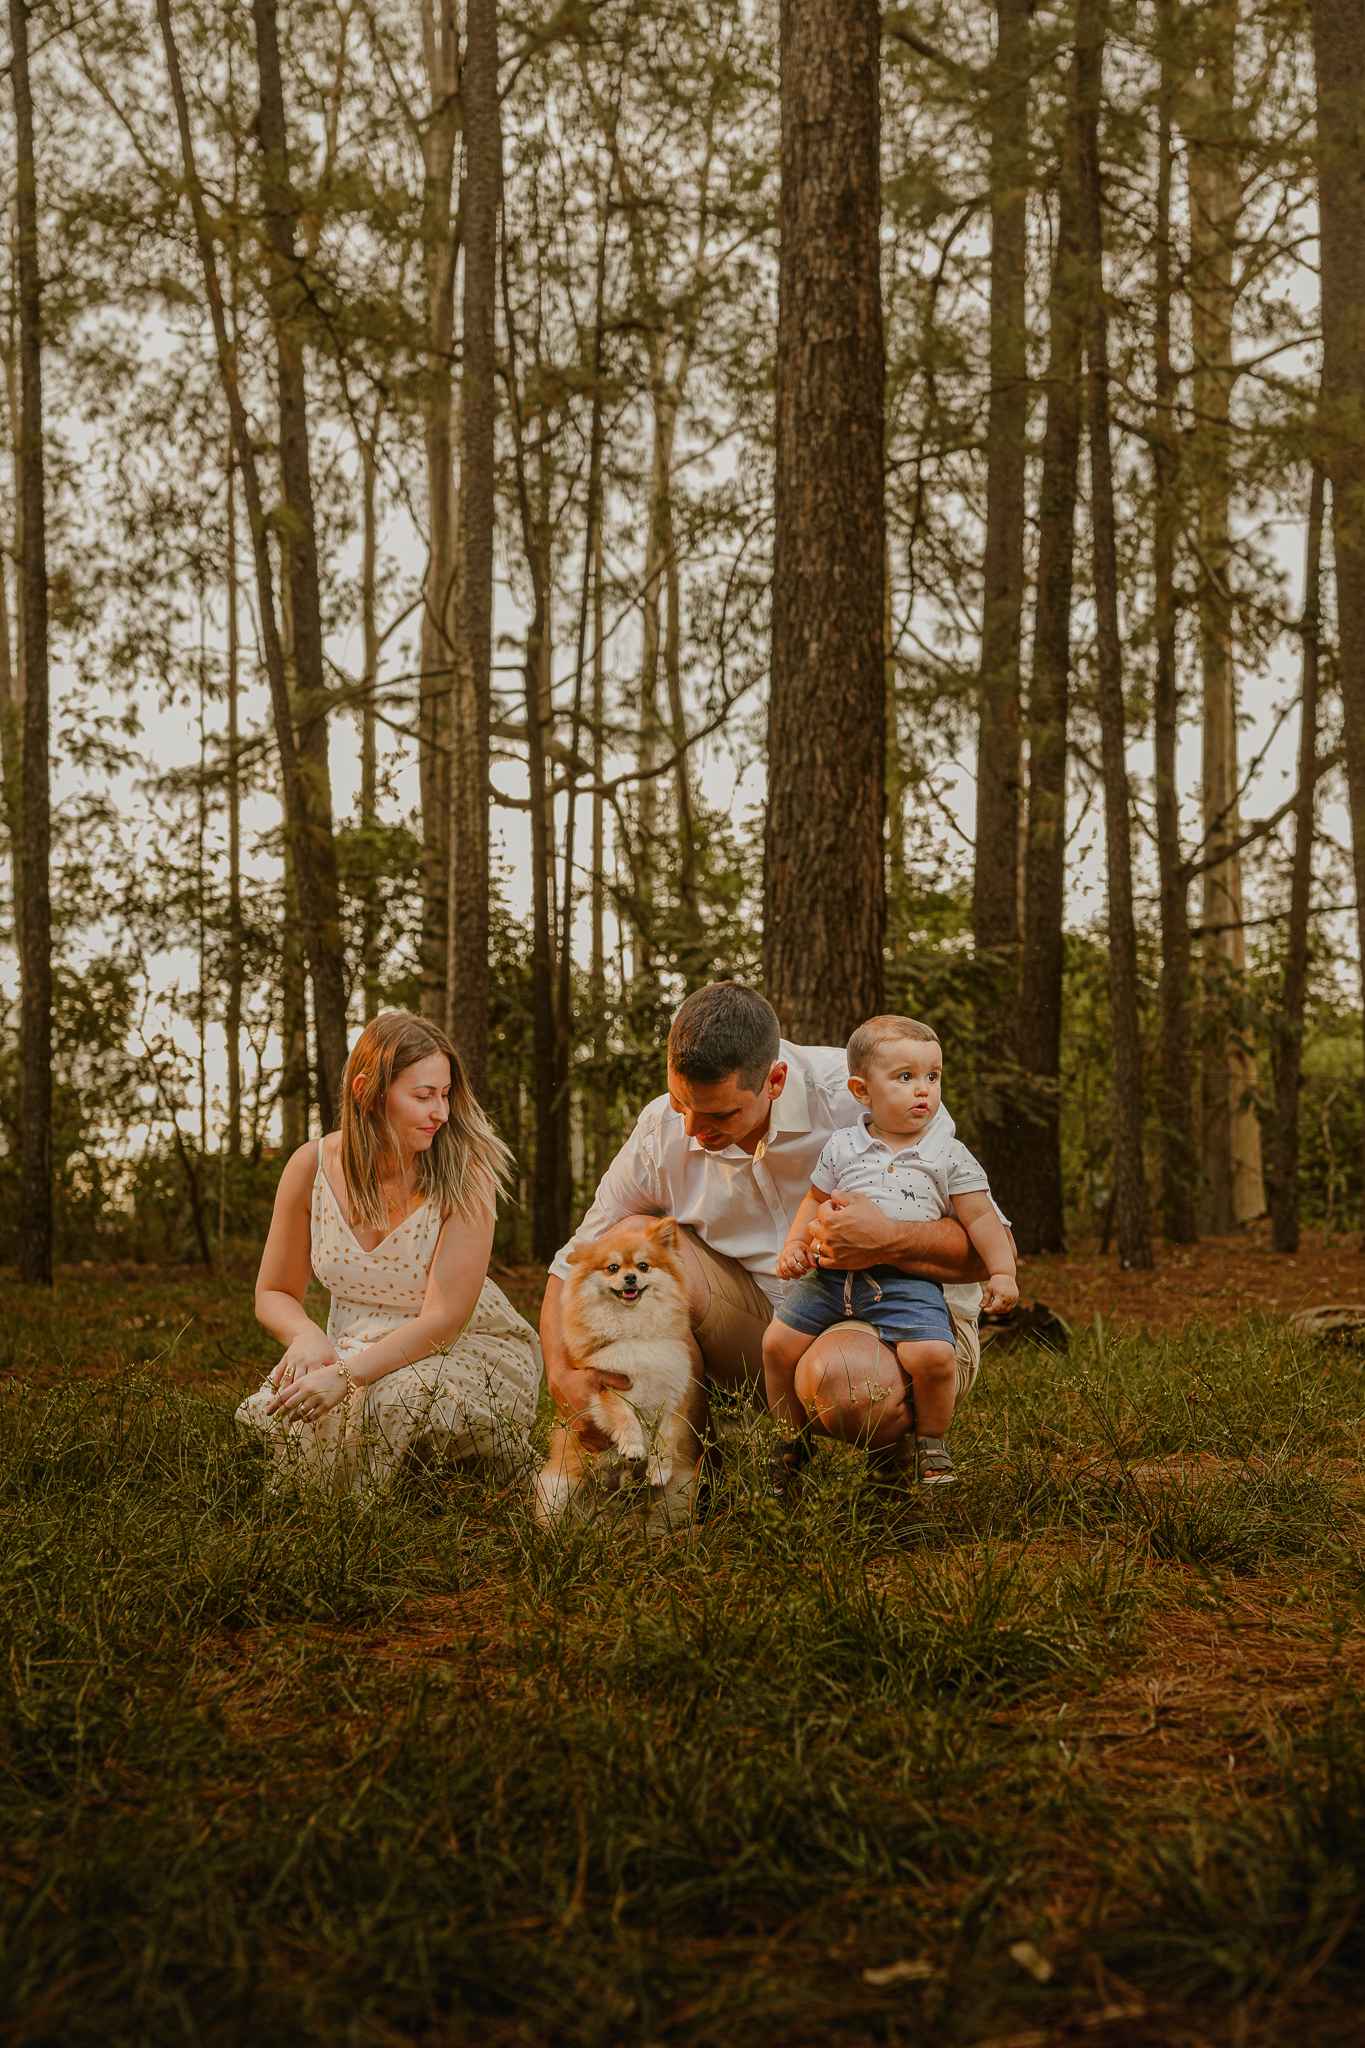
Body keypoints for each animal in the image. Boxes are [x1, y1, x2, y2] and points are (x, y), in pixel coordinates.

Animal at [532, 1212, 703, 1523]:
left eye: (643, 1266)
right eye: (612, 1268)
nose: (630, 1277)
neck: (634, 1330)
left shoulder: (674, 1396)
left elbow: (667, 1434)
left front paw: (659, 1468)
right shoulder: (604, 1386)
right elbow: (623, 1414)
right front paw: (634, 1446)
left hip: (677, 1495)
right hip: (557, 1490)